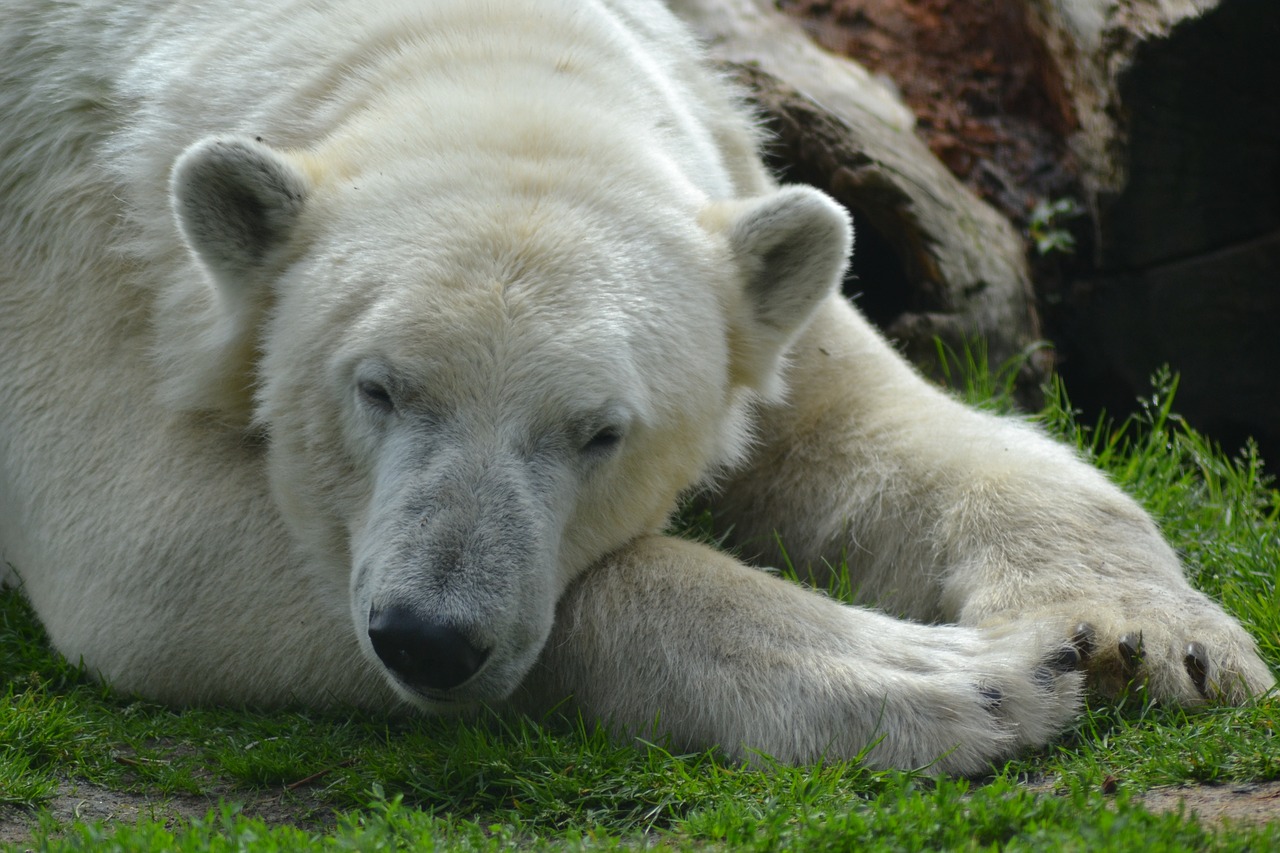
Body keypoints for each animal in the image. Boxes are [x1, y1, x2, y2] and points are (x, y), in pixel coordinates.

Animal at [0, 0, 1264, 768]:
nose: (429, 637)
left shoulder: (739, 228)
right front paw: (967, 677)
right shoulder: (81, 251)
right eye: (377, 389)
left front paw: (1145, 639)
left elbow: (872, 430)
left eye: (598, 430)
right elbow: (146, 552)